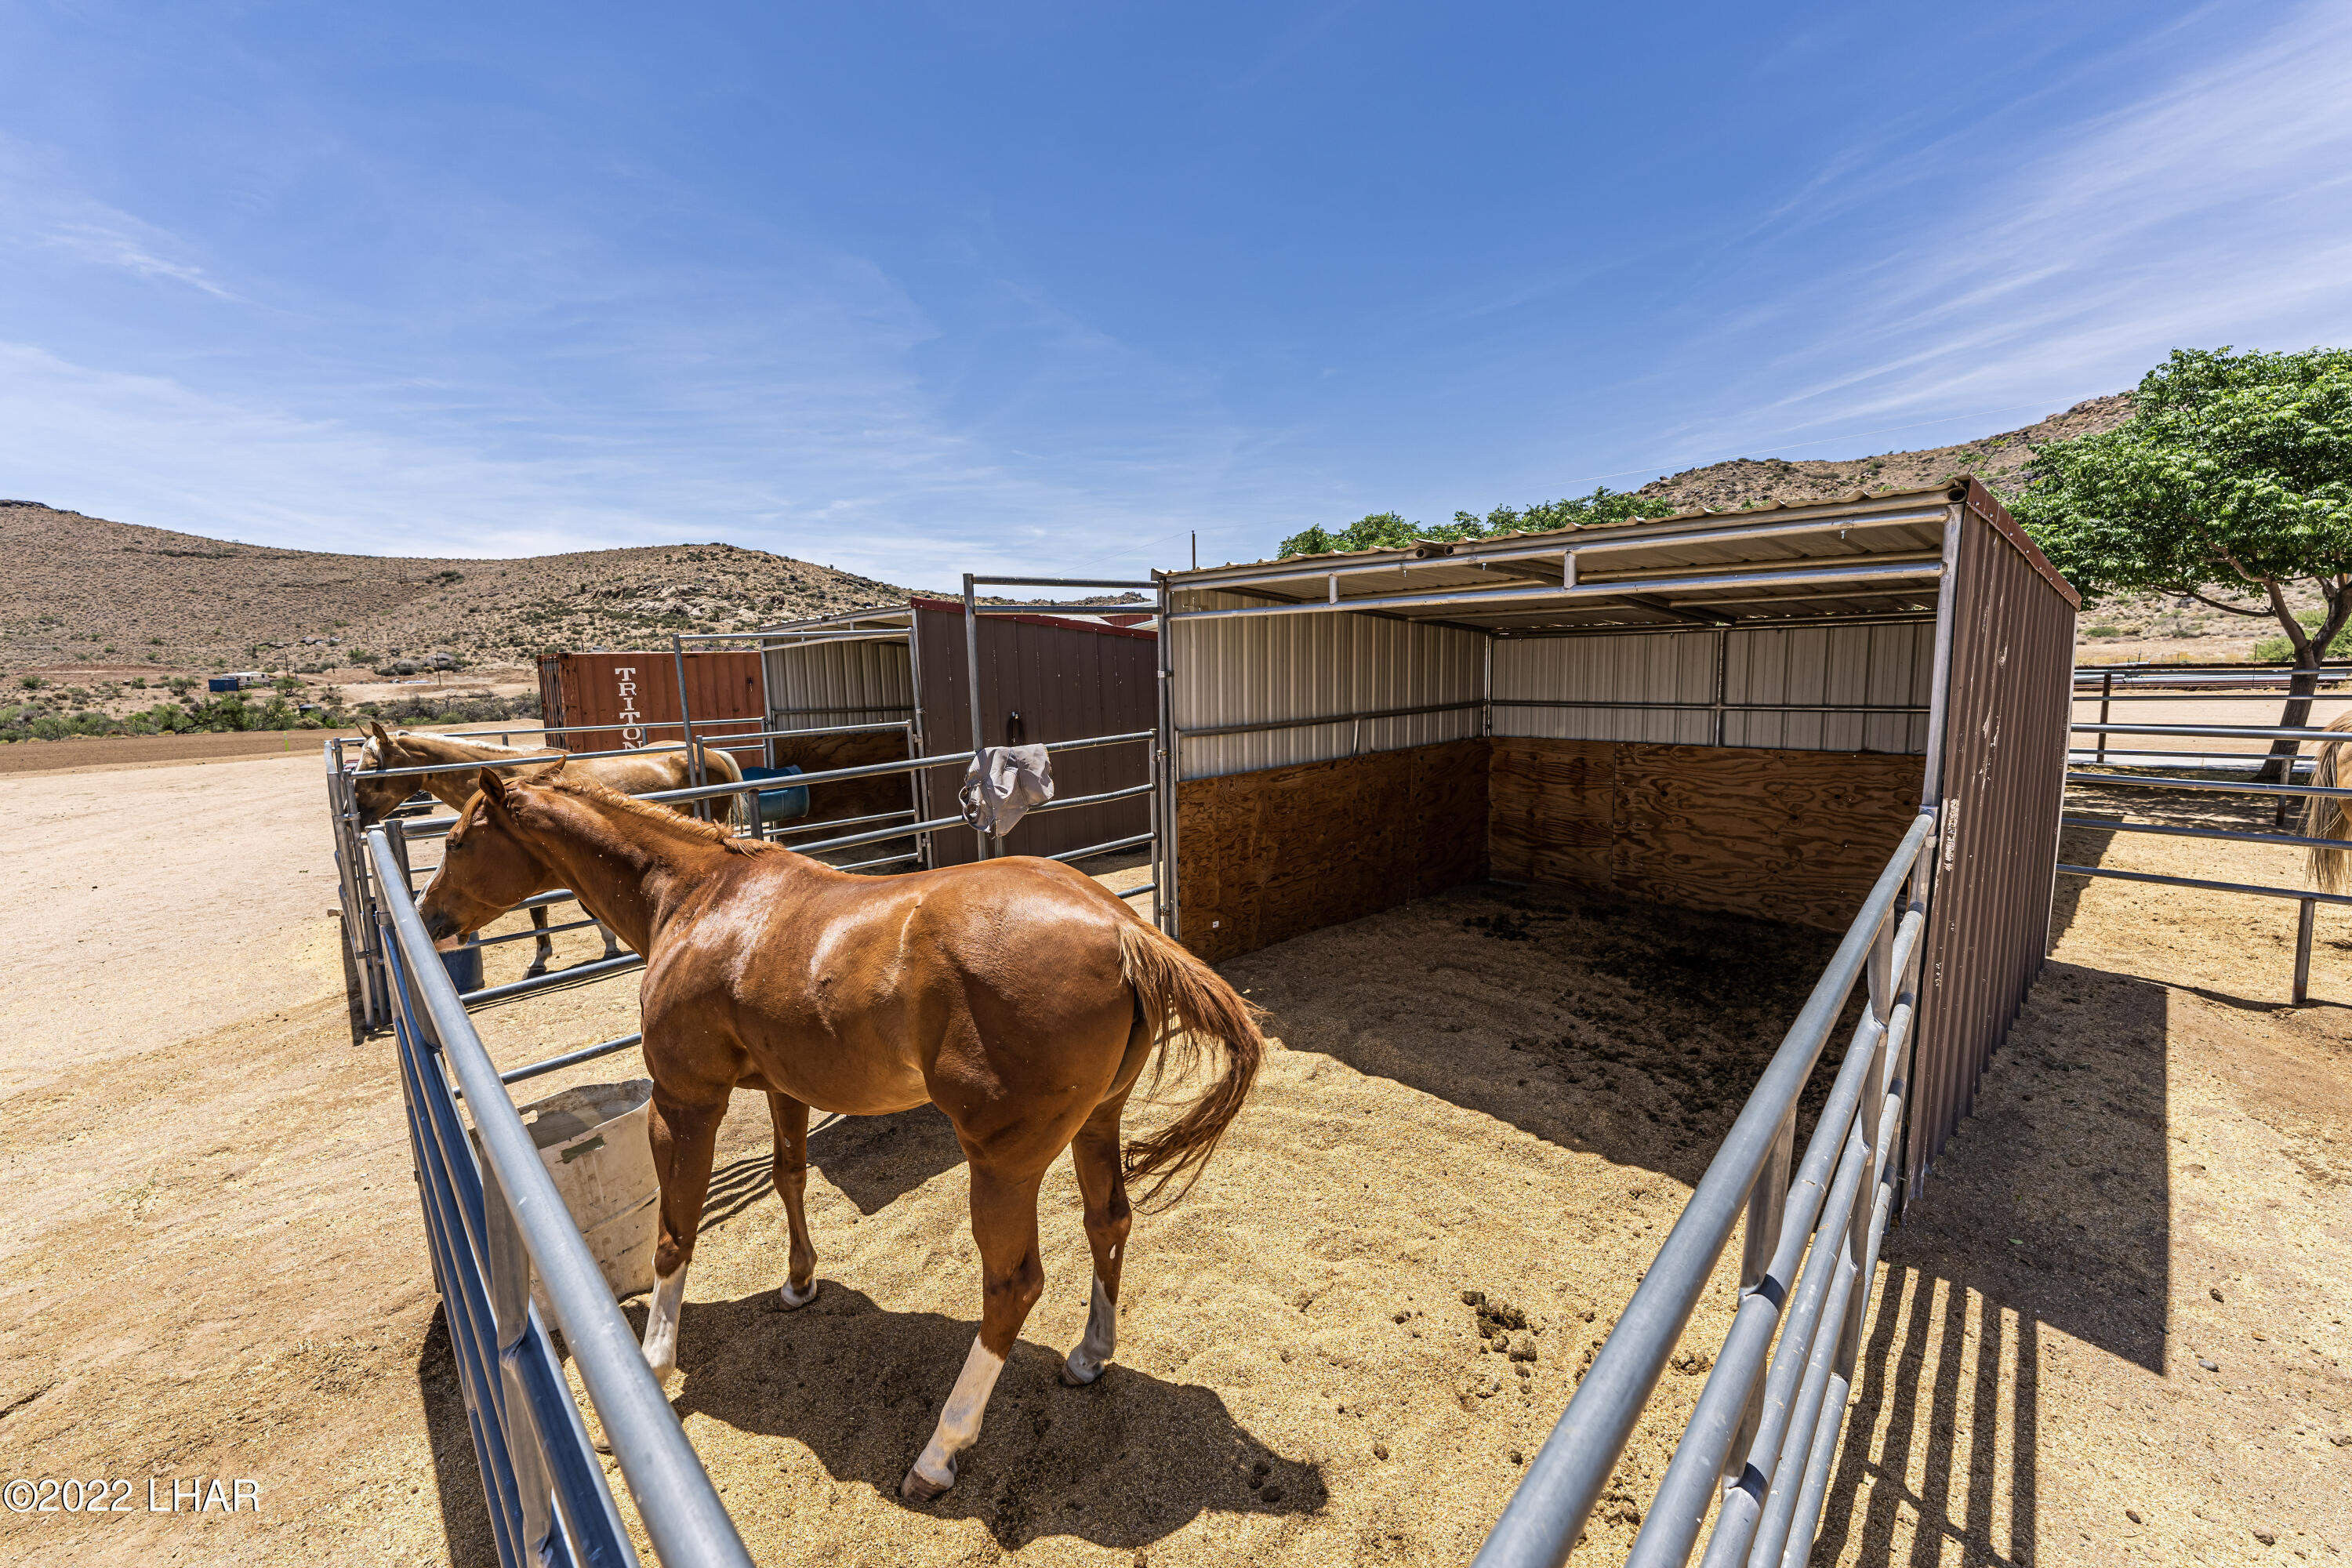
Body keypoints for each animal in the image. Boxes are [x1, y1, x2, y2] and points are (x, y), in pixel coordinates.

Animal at [352, 723, 742, 974]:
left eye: (371, 769)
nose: (355, 816)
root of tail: (711, 751)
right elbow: (543, 910)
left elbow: (546, 910)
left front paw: (594, 948)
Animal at [414, 762, 1262, 1502]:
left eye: (455, 839)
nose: (427, 918)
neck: (700, 898)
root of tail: (1120, 925)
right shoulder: (786, 1091)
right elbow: (788, 1175)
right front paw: (799, 1282)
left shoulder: (684, 1102)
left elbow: (674, 1232)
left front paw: (652, 1362)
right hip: (1096, 1125)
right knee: (1107, 1221)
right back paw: (1089, 1355)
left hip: (1003, 1162)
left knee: (1012, 1286)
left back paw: (938, 1454)